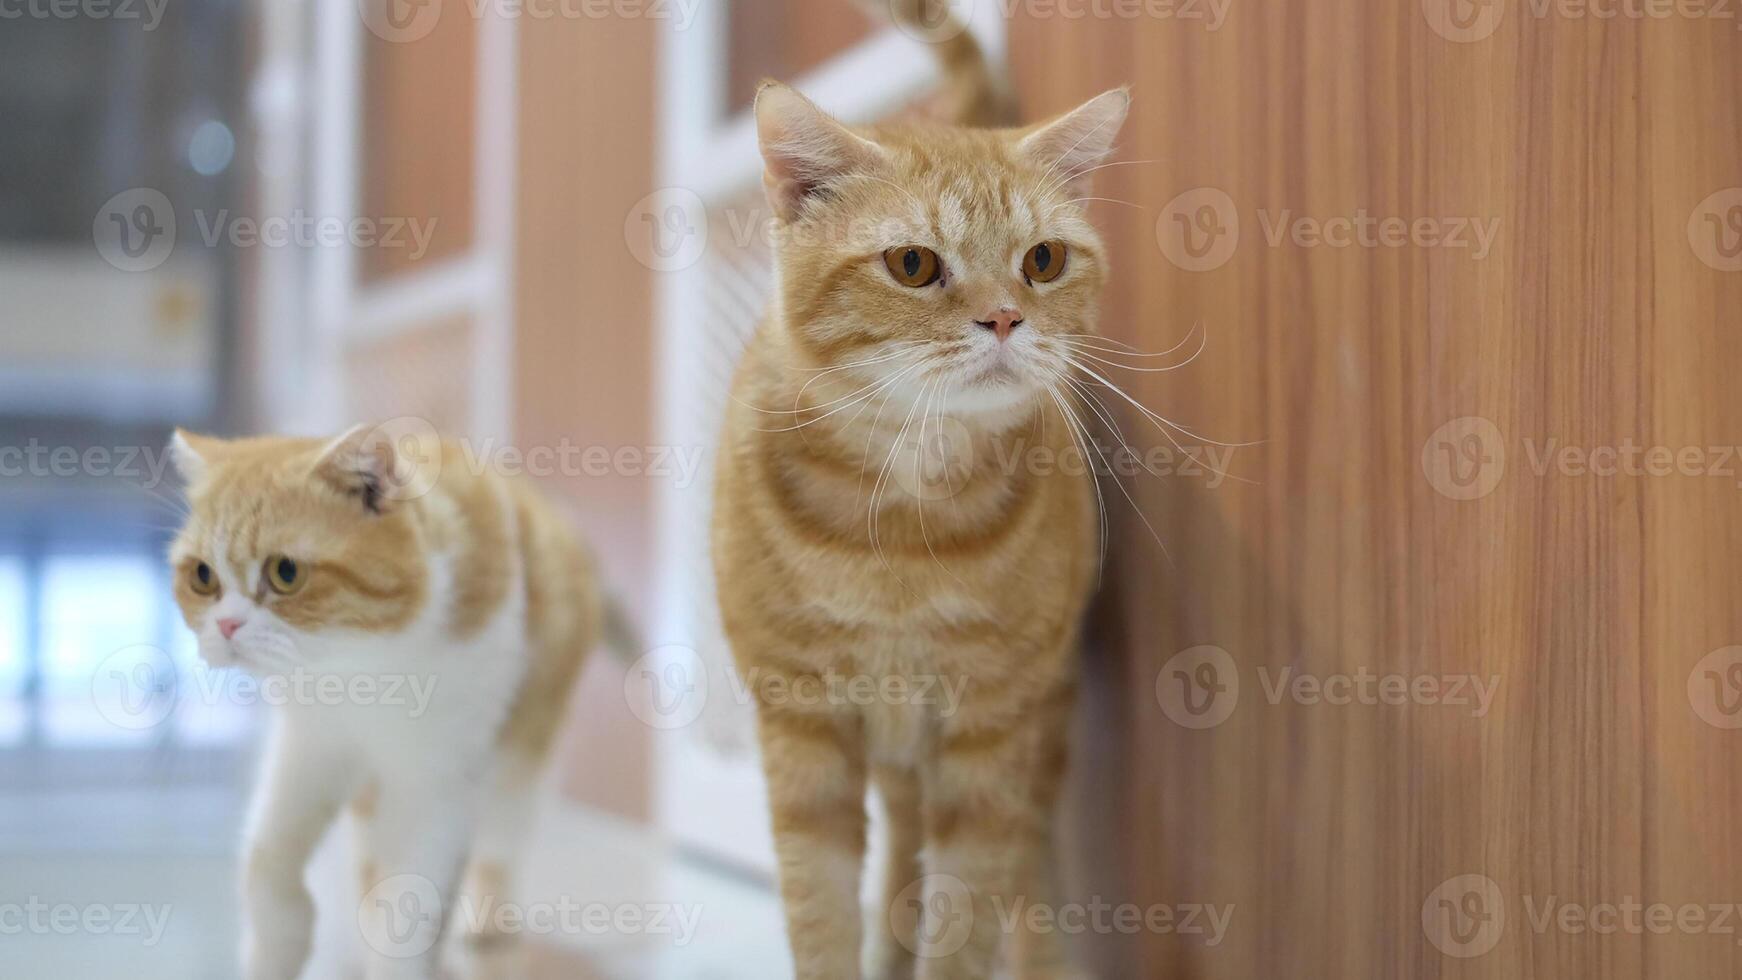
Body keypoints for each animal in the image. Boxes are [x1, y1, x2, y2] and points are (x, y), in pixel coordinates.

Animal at [163, 428, 613, 980]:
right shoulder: (310, 748)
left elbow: (409, 904)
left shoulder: (439, 784)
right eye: (203, 576)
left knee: (497, 847)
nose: (226, 626)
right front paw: (276, 946)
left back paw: (485, 922)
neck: (362, 671)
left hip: (518, 765)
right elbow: (266, 859)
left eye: (286, 572)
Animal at [707, 1, 1128, 980]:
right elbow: (821, 910)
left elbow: (970, 912)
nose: (1005, 317)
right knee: (901, 853)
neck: (901, 521)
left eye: (1042, 261)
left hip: (1034, 725)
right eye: (912, 265)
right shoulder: (803, 729)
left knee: (1021, 872)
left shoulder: (990, 732)